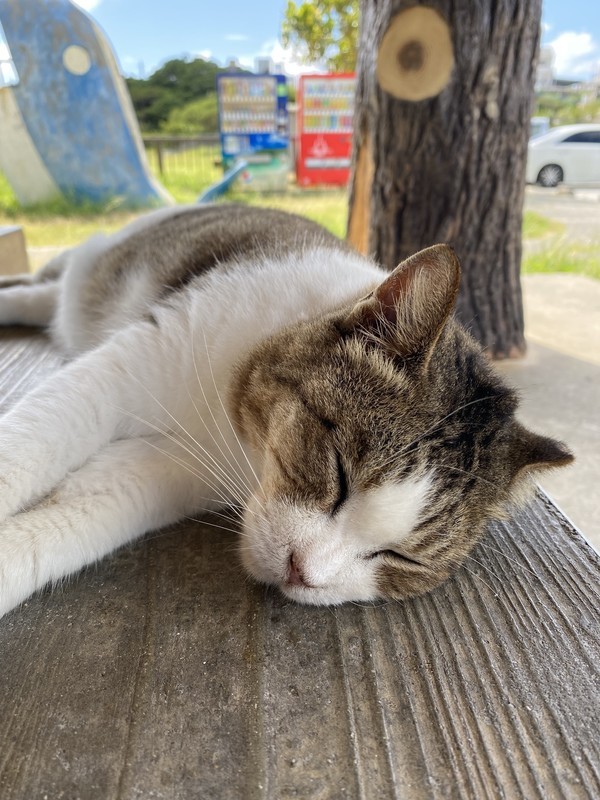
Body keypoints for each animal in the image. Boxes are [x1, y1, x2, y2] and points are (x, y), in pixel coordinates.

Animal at [0, 203, 572, 616]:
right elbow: (30, 444)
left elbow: (83, 513)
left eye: (398, 556)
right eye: (339, 474)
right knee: (43, 291)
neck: (239, 446)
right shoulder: (136, 362)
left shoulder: (170, 474)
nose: (303, 571)